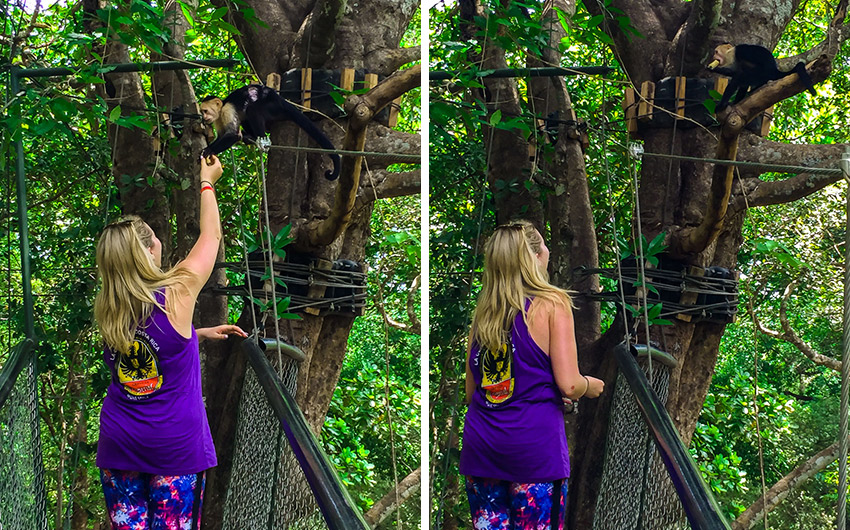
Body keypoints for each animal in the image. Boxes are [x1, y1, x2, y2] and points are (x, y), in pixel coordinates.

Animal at [200, 84, 340, 179]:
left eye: (205, 111)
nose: (204, 118)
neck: (221, 109)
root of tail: (280, 99)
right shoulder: (217, 119)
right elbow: (222, 135)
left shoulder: (227, 110)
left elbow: (234, 134)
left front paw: (208, 150)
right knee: (245, 117)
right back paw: (251, 136)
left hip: (272, 107)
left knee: (252, 109)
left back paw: (260, 139)